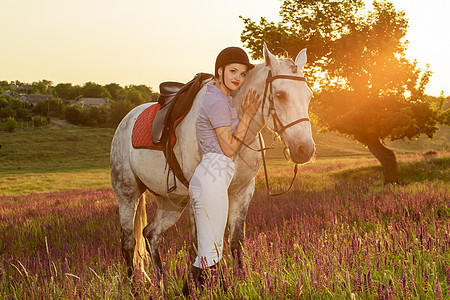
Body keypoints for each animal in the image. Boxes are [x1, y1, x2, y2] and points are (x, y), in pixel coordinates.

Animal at [109, 44, 314, 278]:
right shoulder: (198, 194)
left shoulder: (242, 191)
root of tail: (127, 119)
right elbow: (198, 247)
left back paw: (161, 282)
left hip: (173, 202)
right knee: (128, 243)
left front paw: (240, 280)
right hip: (128, 195)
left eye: (309, 96)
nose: (304, 149)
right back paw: (135, 284)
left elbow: (235, 242)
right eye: (280, 94)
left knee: (151, 234)